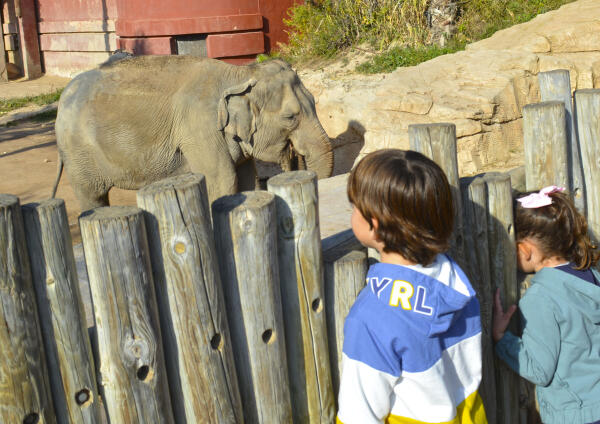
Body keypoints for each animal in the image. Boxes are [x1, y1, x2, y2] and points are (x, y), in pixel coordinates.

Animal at [51, 54, 332, 210]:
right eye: (290, 117)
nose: (295, 157)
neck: (241, 73)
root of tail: (62, 97)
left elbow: (245, 180)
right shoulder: (199, 127)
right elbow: (223, 180)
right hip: (79, 153)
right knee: (92, 196)